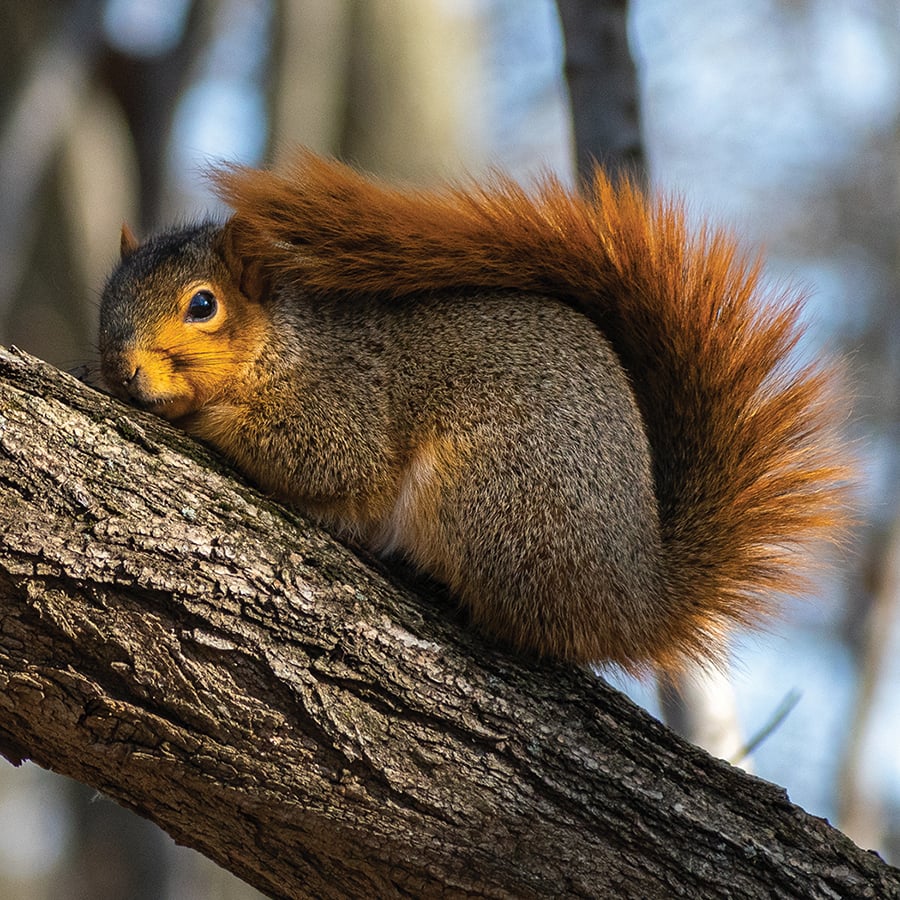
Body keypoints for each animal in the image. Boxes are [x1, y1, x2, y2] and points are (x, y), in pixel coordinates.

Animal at [98, 150, 851, 674]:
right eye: (108, 295)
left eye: (203, 305)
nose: (122, 369)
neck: (282, 345)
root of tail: (635, 596)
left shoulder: (346, 404)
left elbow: (322, 461)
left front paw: (196, 417)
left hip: (490, 496)